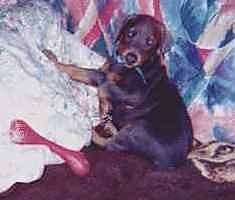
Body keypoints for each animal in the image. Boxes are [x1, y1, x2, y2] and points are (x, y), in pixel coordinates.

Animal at [42, 14, 193, 169]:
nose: (131, 58)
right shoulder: (106, 72)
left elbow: (82, 73)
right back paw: (109, 124)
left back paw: (90, 129)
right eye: (130, 33)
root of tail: (171, 163)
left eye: (150, 42)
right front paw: (105, 109)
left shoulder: (129, 91)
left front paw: (53, 60)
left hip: (138, 129)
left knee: (109, 144)